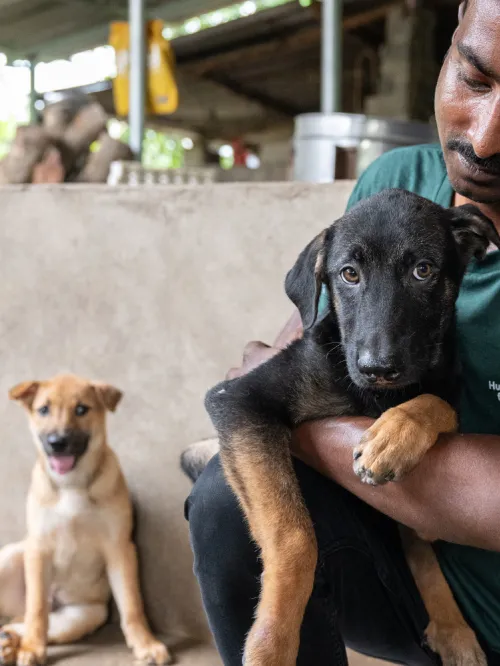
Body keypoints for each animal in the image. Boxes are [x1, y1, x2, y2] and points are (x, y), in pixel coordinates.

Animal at [0, 374, 171, 664]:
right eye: (43, 410)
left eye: (81, 409)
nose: (57, 442)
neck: (72, 484)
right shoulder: (38, 549)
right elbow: (37, 608)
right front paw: (33, 648)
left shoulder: (119, 548)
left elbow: (131, 604)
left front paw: (145, 644)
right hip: (9, 556)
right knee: (26, 616)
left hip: (81, 618)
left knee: (15, 625)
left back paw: (8, 645)